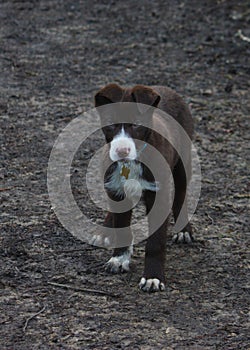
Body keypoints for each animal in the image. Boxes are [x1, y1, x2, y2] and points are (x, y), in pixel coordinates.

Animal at [94, 83, 193, 292]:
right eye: (110, 123)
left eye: (137, 124)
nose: (122, 151)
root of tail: (165, 88)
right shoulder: (116, 188)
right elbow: (122, 227)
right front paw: (119, 259)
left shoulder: (159, 196)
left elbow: (155, 242)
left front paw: (152, 277)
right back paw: (105, 229)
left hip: (182, 161)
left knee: (181, 194)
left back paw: (183, 229)